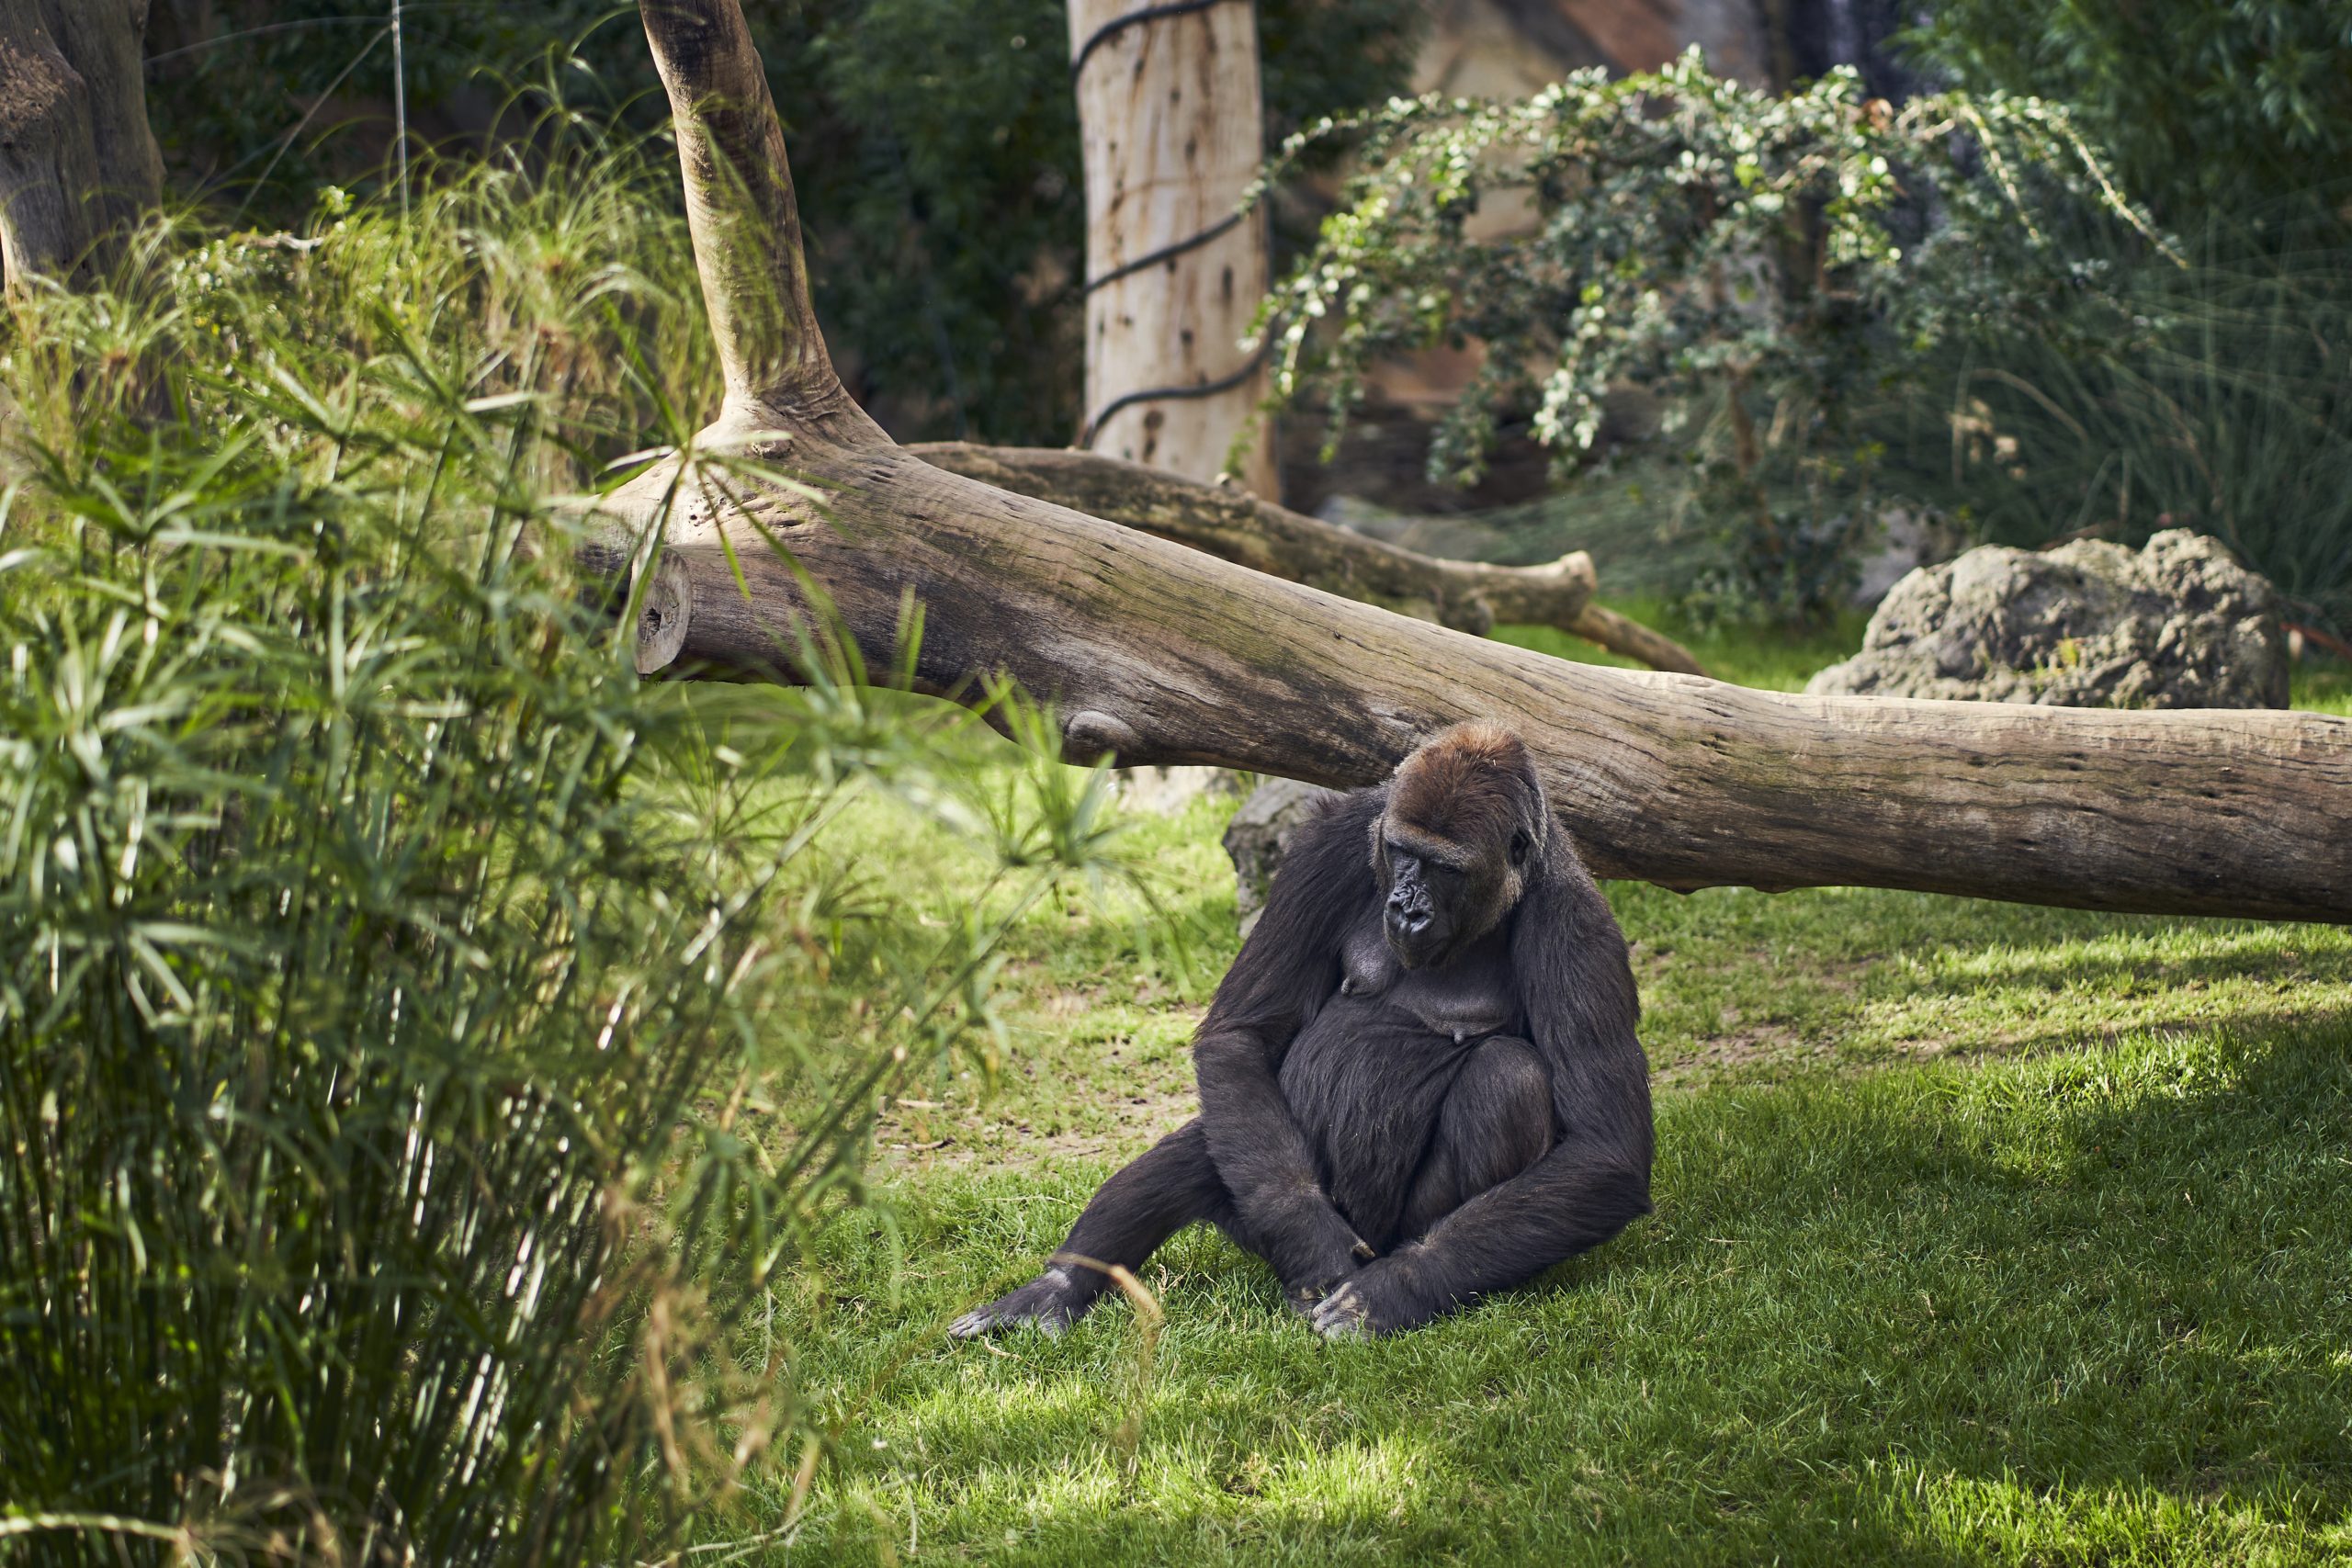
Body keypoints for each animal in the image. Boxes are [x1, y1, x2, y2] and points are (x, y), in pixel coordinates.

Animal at [950, 722, 1652, 1339]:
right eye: (1401, 852)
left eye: (1445, 868)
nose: (1407, 907)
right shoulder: (1333, 841)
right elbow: (1241, 1033)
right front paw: (1314, 1244)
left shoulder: (1577, 926)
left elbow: (1604, 1149)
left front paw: (1392, 1294)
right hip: (1262, 1226)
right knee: (1220, 1127)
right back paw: (1059, 1286)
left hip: (1393, 1232)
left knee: (1507, 1078)